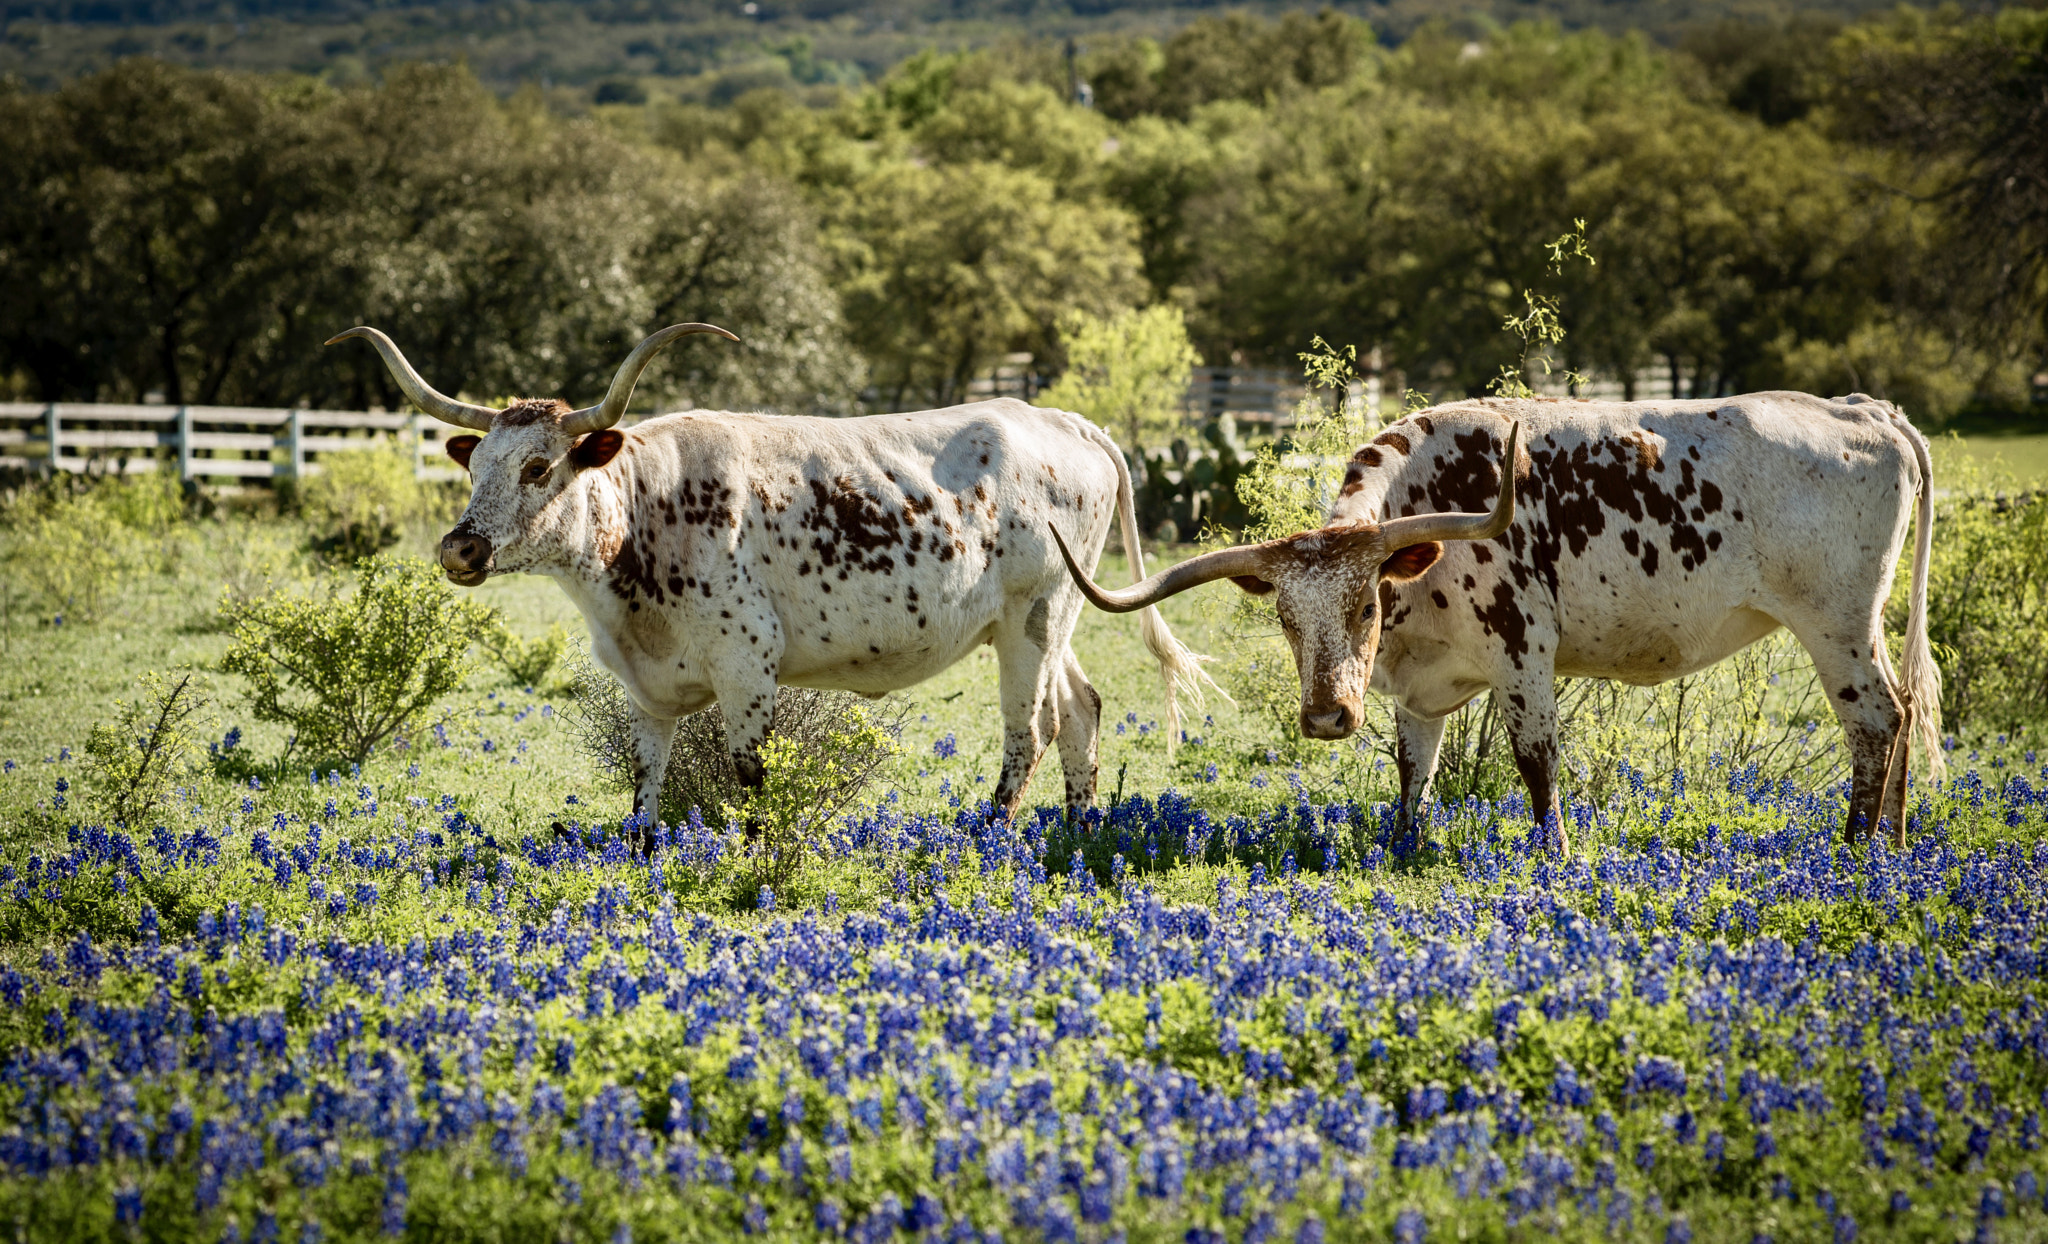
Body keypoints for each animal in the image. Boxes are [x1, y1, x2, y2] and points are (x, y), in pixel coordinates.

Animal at [327, 325, 1204, 823]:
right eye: (477, 470)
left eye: (539, 468)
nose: (459, 549)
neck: (646, 509)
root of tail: (1065, 420)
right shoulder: (646, 689)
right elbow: (644, 793)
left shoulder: (748, 666)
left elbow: (750, 776)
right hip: (1052, 619)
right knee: (1082, 711)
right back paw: (1078, 833)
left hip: (1035, 618)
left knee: (1032, 729)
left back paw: (987, 834)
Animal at [1064, 393, 1941, 852]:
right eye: (1284, 615)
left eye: (1365, 603)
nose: (1326, 717)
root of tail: (1866, 411)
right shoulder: (1416, 690)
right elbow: (1414, 772)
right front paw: (1402, 848)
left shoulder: (1524, 655)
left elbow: (1536, 762)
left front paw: (1554, 855)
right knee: (1900, 712)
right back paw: (1894, 844)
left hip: (1834, 624)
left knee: (1876, 718)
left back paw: (1856, 845)